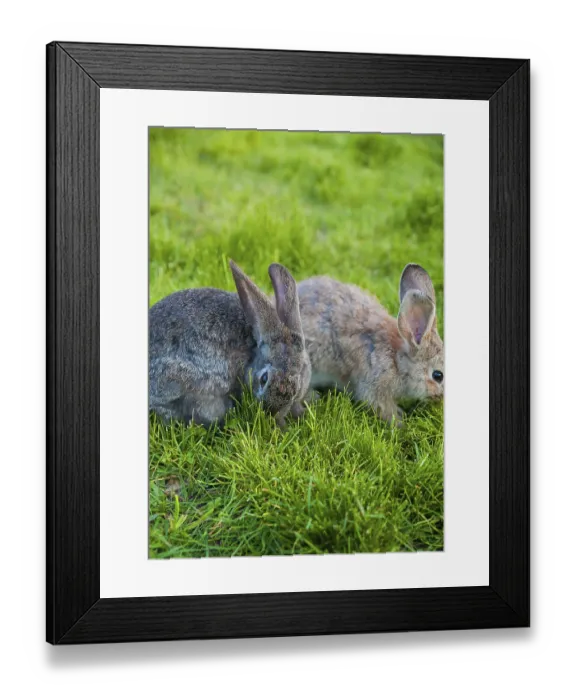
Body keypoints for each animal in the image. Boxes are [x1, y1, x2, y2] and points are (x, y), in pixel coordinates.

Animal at [296, 264, 444, 426]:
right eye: (438, 375)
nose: (442, 399)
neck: (397, 361)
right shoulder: (375, 385)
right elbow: (381, 407)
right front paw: (400, 423)